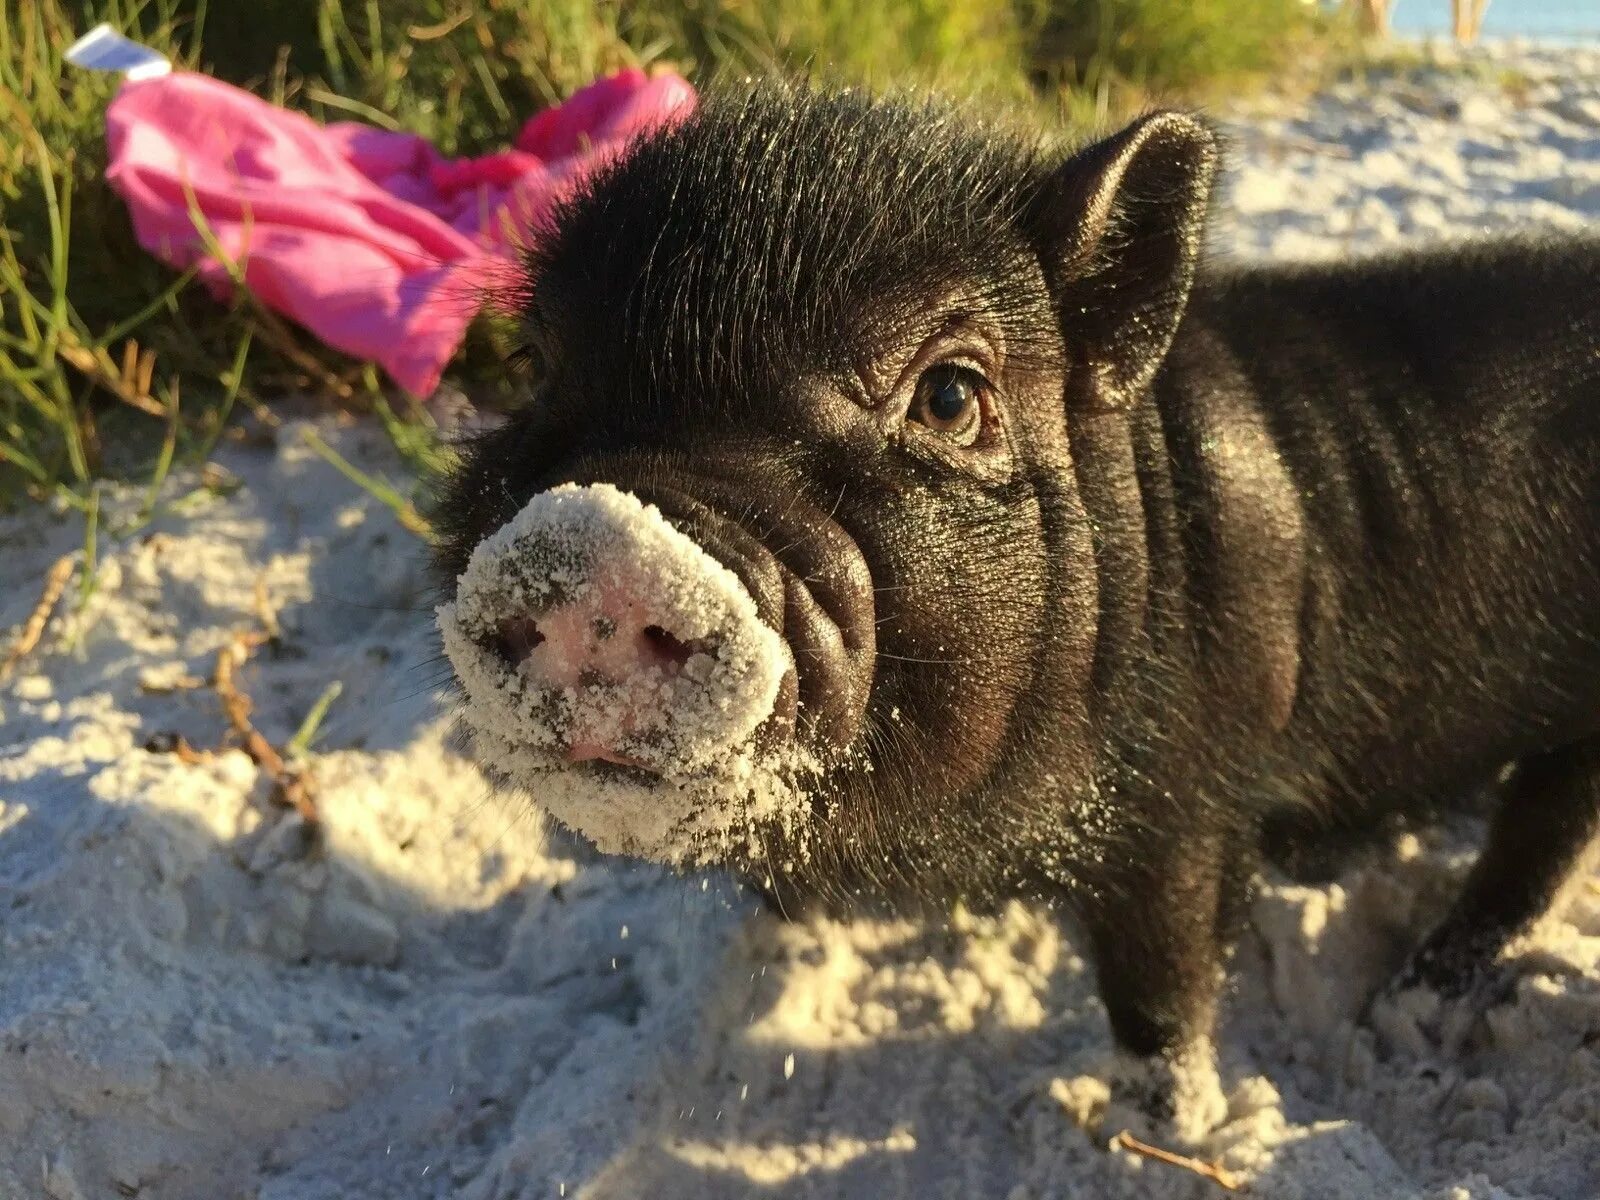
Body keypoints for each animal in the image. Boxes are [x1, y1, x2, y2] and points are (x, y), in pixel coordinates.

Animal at [432, 89, 1600, 1132]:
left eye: (950, 396)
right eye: (534, 367)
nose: (603, 538)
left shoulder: (1187, 798)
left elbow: (1164, 987)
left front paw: (1161, 1129)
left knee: (1540, 839)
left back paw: (1413, 1002)